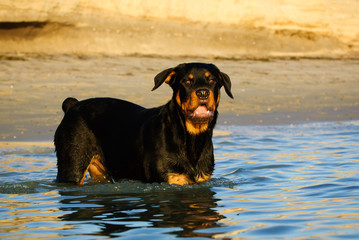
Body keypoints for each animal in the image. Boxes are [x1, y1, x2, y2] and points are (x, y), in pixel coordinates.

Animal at [53, 62, 233, 186]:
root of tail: (72, 106)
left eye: (212, 80)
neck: (191, 138)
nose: (203, 93)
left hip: (100, 171)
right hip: (72, 166)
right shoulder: (167, 179)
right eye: (187, 82)